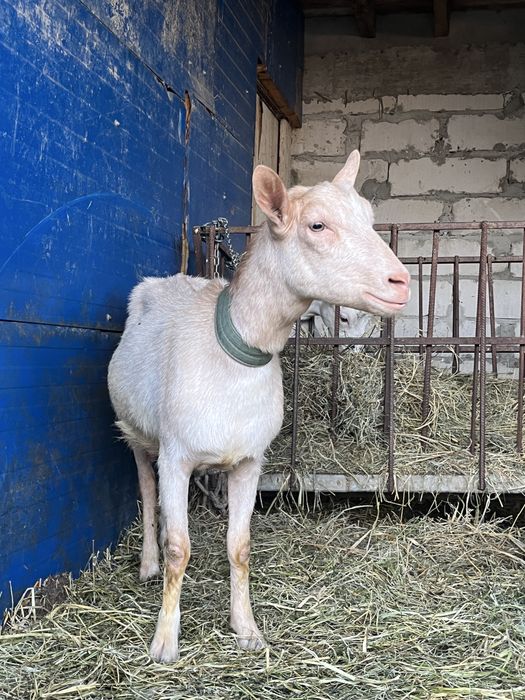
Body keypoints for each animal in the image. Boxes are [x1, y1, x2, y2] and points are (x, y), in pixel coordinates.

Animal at [107, 150, 410, 663]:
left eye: (370, 219)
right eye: (316, 225)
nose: (402, 282)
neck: (231, 350)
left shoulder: (250, 459)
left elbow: (240, 546)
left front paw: (246, 629)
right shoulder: (177, 454)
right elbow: (179, 548)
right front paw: (165, 643)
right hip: (137, 432)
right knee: (147, 489)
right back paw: (147, 563)